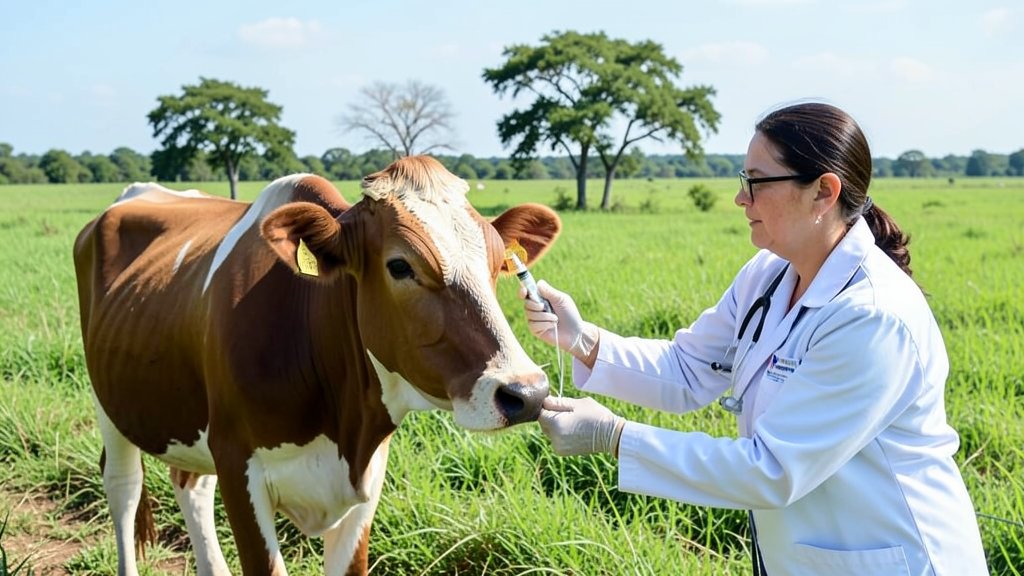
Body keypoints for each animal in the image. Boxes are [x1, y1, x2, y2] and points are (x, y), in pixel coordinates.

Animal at [73, 156, 561, 576]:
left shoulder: (367, 476)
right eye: (400, 265)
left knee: (189, 484)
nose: (527, 392)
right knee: (123, 487)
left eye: (498, 263)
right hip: (107, 401)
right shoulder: (237, 465)